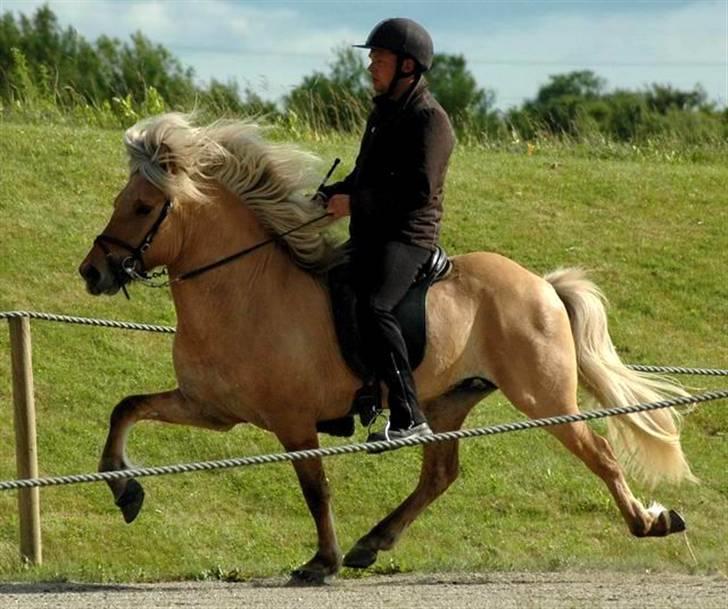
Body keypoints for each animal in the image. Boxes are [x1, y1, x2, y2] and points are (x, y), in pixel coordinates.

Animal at [78, 114, 692, 584]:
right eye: (121, 201)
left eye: (142, 207)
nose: (93, 272)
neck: (245, 289)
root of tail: (541, 283)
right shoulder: (209, 408)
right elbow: (126, 409)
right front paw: (124, 489)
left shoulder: (292, 421)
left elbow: (315, 489)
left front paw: (320, 563)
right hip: (447, 401)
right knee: (440, 474)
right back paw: (373, 541)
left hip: (544, 399)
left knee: (601, 453)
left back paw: (650, 522)